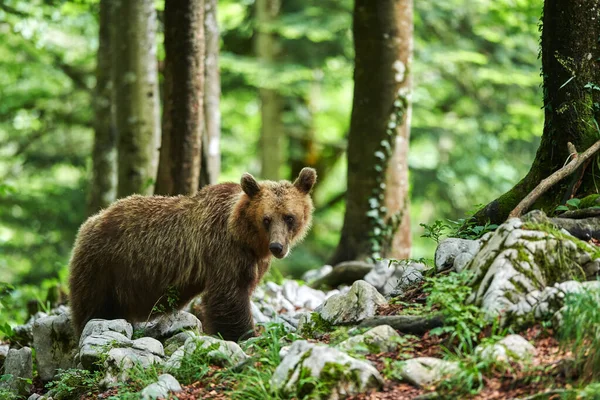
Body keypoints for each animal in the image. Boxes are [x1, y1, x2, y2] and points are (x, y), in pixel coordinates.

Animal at [68, 168, 316, 340]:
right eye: (266, 219)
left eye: (289, 217)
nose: (277, 247)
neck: (244, 236)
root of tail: (93, 219)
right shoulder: (224, 250)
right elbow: (229, 295)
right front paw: (244, 334)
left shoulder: (253, 260)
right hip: (103, 265)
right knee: (92, 307)